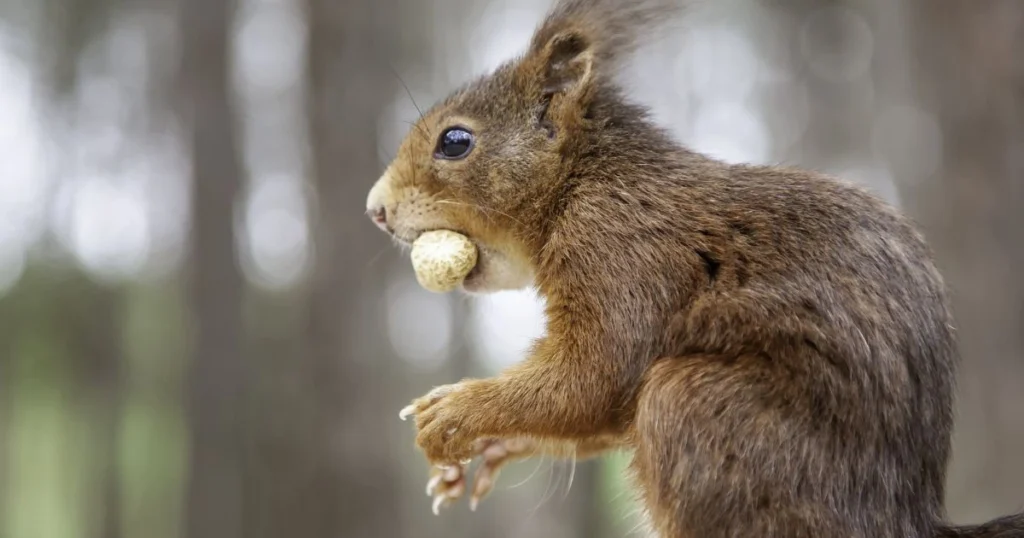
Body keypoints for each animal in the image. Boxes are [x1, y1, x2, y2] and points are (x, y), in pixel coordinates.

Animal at [364, 1, 1024, 536]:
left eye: (455, 141)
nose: (375, 209)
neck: (584, 183)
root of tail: (903, 520)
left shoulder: (620, 253)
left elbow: (591, 376)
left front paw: (455, 411)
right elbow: (593, 411)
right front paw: (487, 449)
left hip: (696, 410)